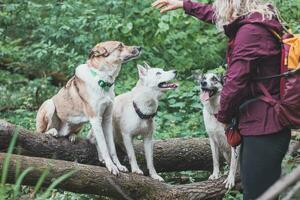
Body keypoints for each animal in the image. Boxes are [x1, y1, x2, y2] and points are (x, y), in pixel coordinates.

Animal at [35, 41, 141, 175]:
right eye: (120, 46)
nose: (140, 48)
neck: (103, 80)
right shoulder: (95, 119)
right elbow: (104, 146)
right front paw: (111, 166)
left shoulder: (107, 119)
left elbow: (111, 147)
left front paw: (119, 165)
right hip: (49, 104)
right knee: (42, 131)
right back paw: (52, 131)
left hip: (78, 124)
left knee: (66, 133)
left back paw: (72, 136)